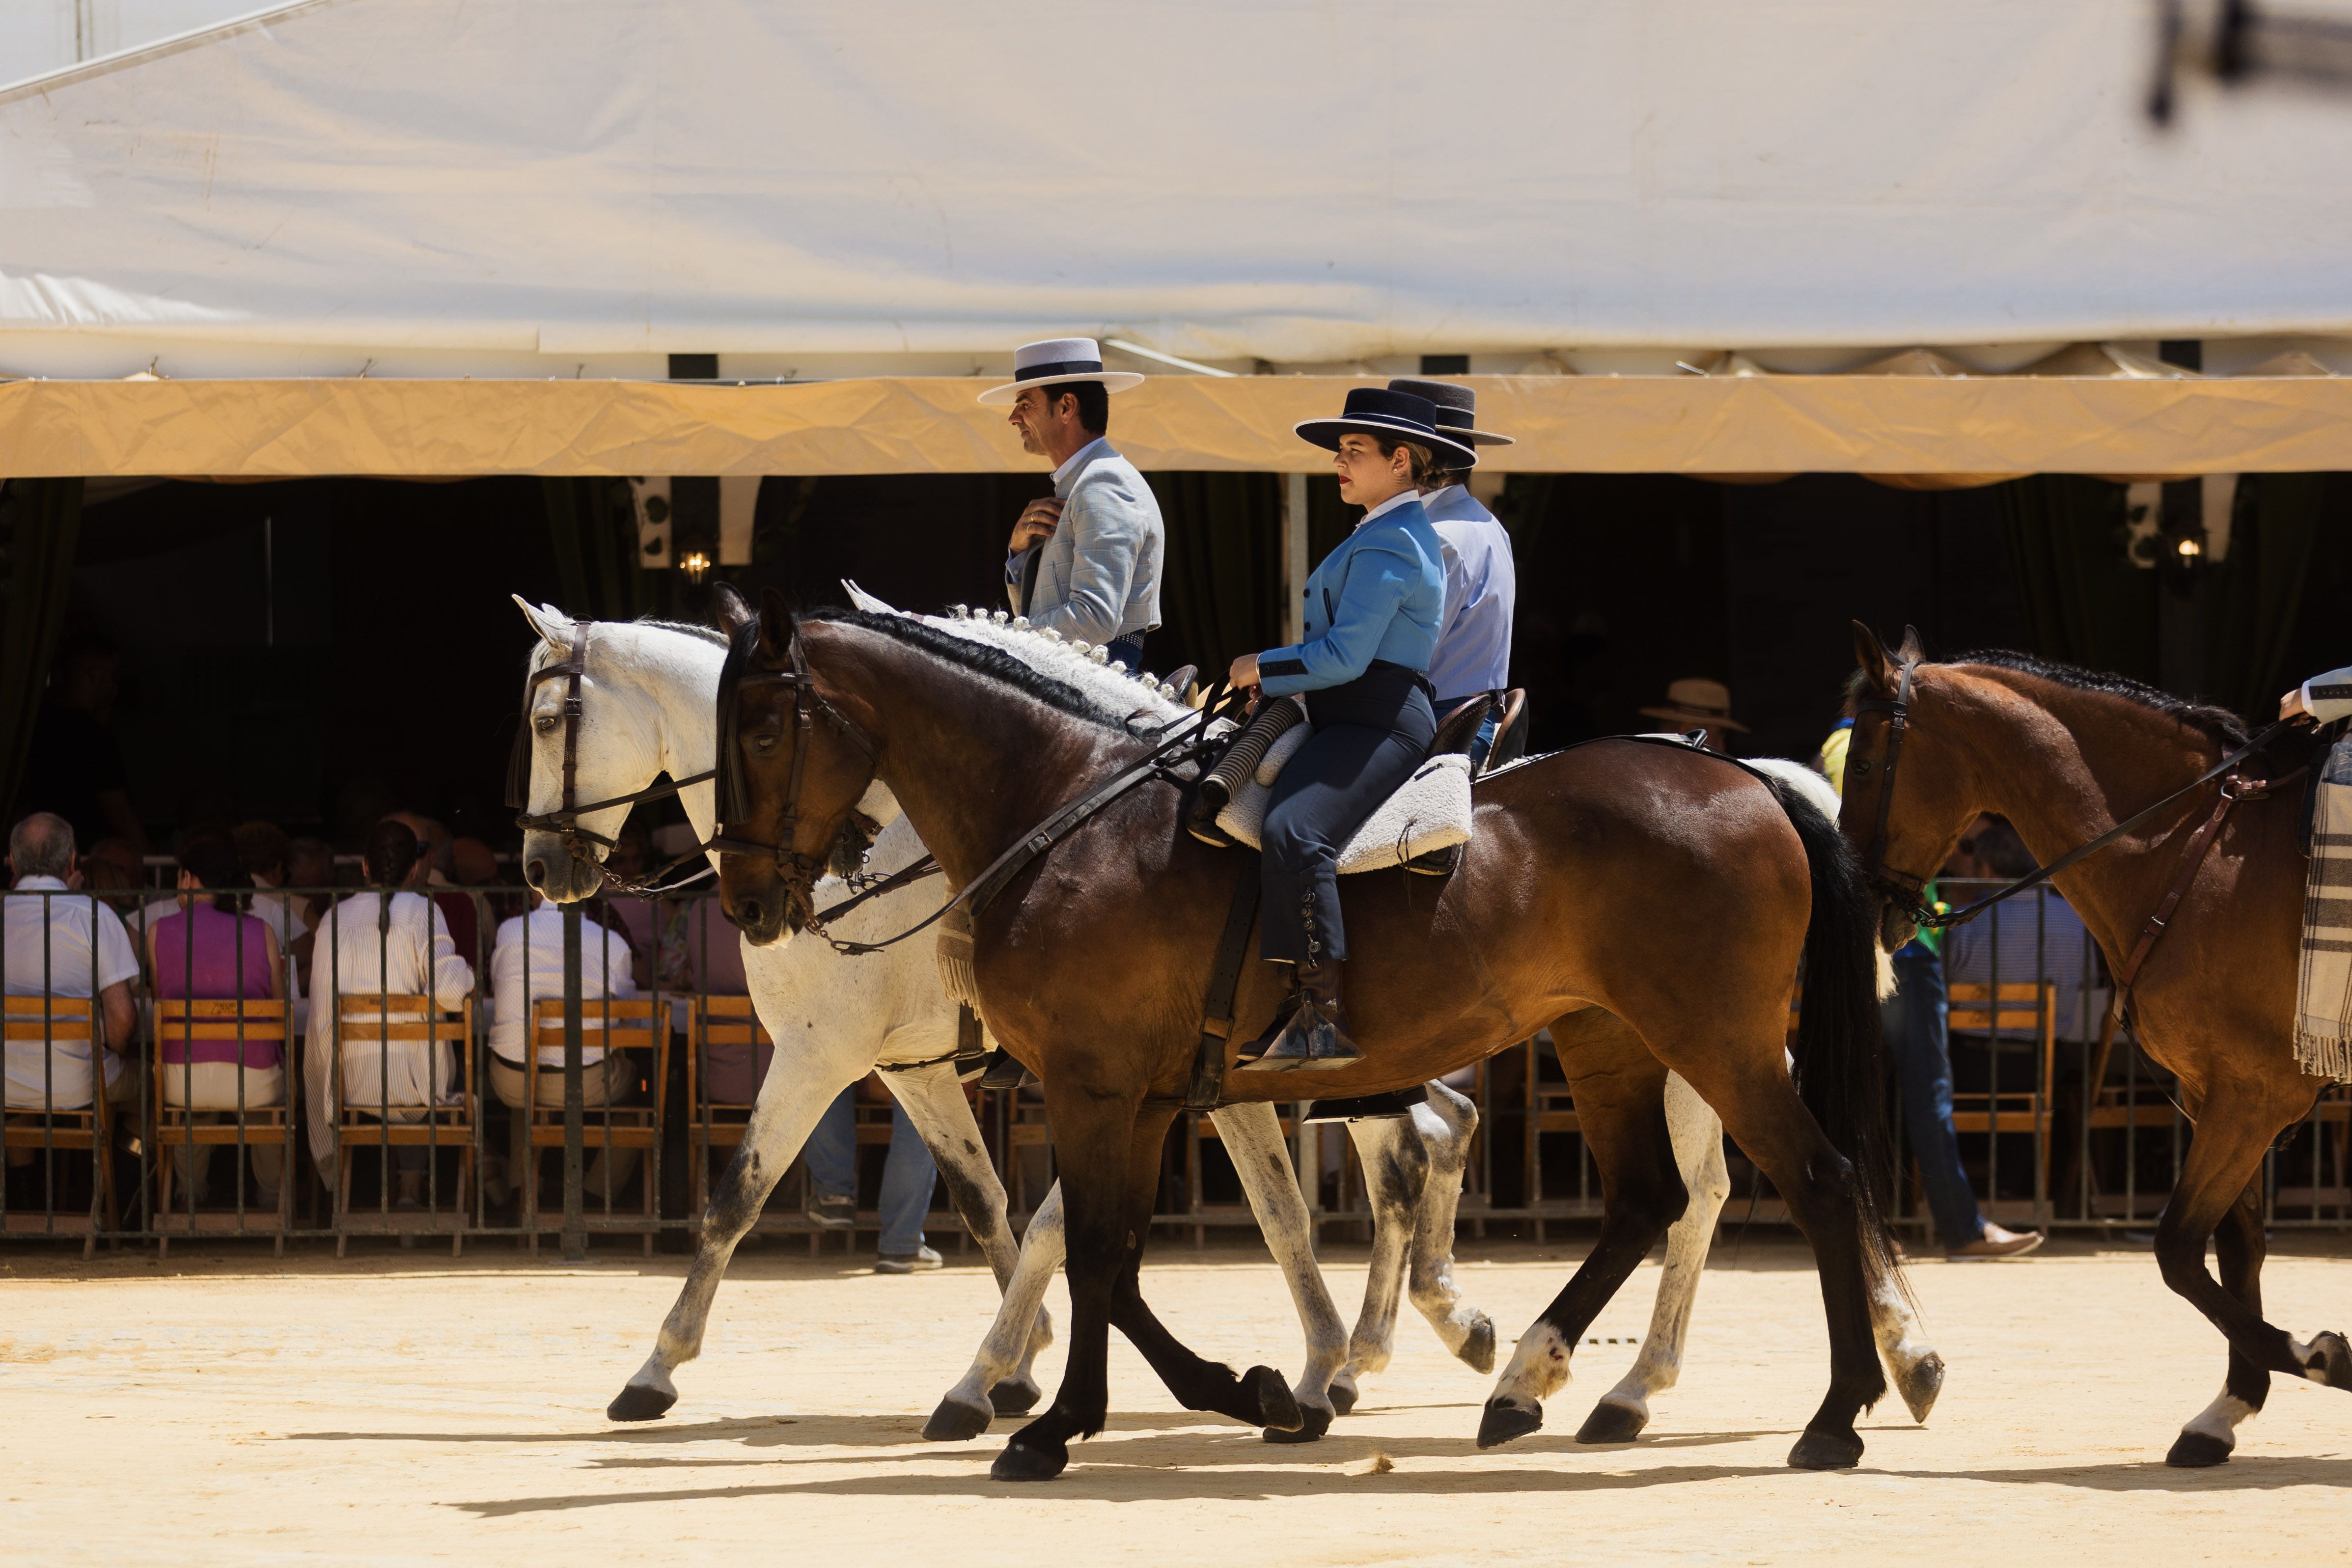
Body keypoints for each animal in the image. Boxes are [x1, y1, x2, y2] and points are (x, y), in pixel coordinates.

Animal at [505, 598, 1505, 1438]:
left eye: (546, 723)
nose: (542, 867)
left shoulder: (822, 1055)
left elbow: (734, 1202)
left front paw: (656, 1368)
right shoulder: (915, 1069)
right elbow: (991, 1204)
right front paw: (1020, 1370)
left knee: (1410, 1151)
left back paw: (1388, 1344)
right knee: (1431, 1138)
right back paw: (1410, 1336)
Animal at [710, 591, 1938, 1480]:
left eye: (764, 729)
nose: (746, 900)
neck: (1071, 811)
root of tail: (1745, 779)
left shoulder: (1090, 1084)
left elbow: (1097, 1249)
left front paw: (1052, 1424)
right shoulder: (1143, 1094)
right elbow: (1117, 1254)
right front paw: (1246, 1390)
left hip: (1717, 1043)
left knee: (1816, 1182)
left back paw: (1835, 1412)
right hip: (1609, 1040)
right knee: (1649, 1198)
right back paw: (1532, 1381)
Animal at [1841, 623, 2348, 1467]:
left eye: (1868, 763)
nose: (1857, 901)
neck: (2195, 858)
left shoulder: (2255, 1096)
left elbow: (2177, 1248)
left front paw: (2319, 1356)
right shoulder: (2219, 1096)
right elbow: (2236, 1248)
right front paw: (2229, 1407)